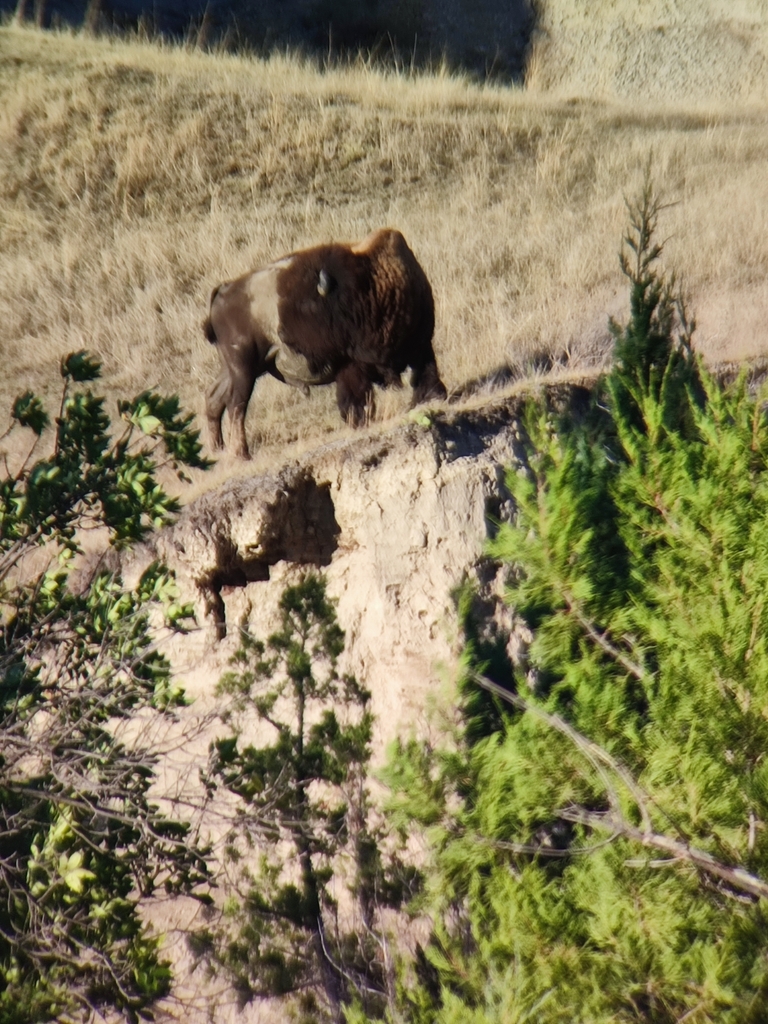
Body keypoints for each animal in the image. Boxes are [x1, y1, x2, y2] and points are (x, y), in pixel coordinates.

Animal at [201, 232, 448, 460]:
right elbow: (356, 393)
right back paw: (241, 454)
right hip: (243, 367)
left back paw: (218, 450)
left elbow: (425, 370)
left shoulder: (421, 344)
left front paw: (433, 396)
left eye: (307, 305)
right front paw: (359, 420)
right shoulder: (351, 365)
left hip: (239, 368)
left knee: (215, 398)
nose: (284, 333)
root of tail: (223, 290)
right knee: (236, 405)